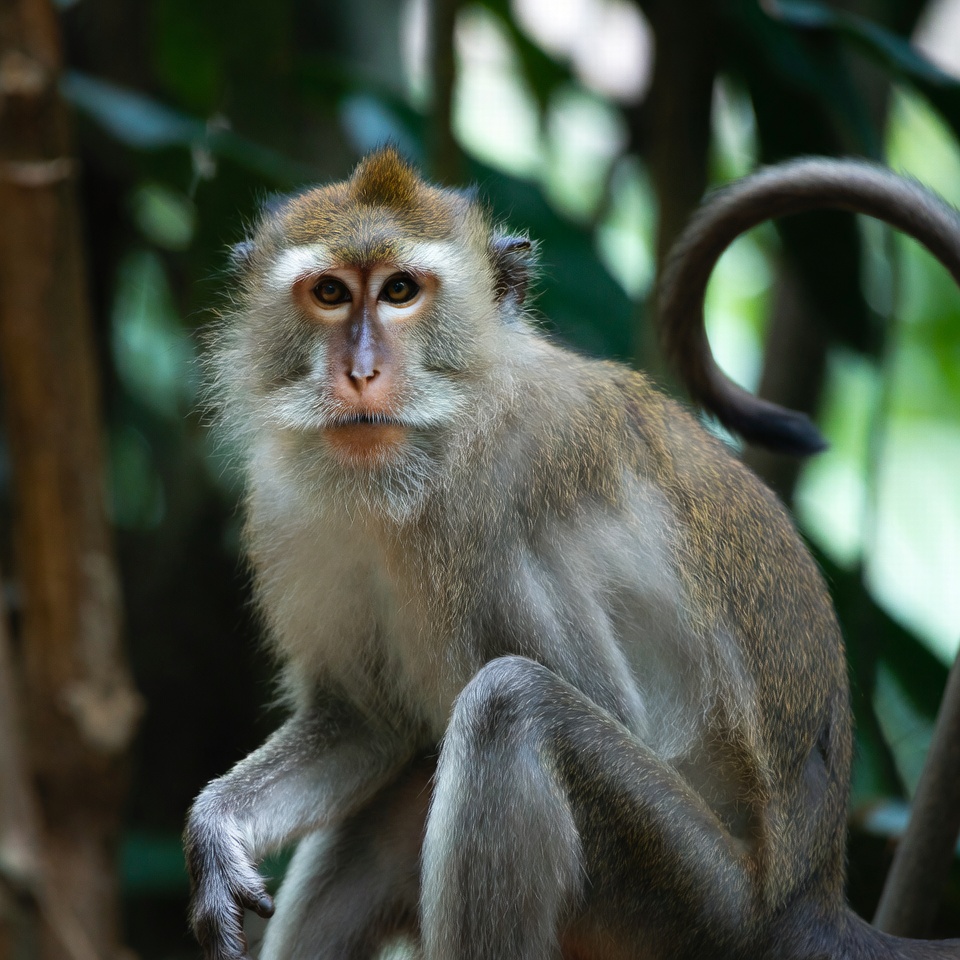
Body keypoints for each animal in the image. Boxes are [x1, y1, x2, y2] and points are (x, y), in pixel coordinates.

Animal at [184, 147, 960, 960]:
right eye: (331, 293)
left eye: (400, 291)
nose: (359, 372)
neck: (419, 464)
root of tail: (809, 897)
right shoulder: (283, 507)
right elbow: (368, 721)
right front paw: (218, 827)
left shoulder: (499, 507)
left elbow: (594, 704)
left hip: (694, 904)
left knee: (509, 707)